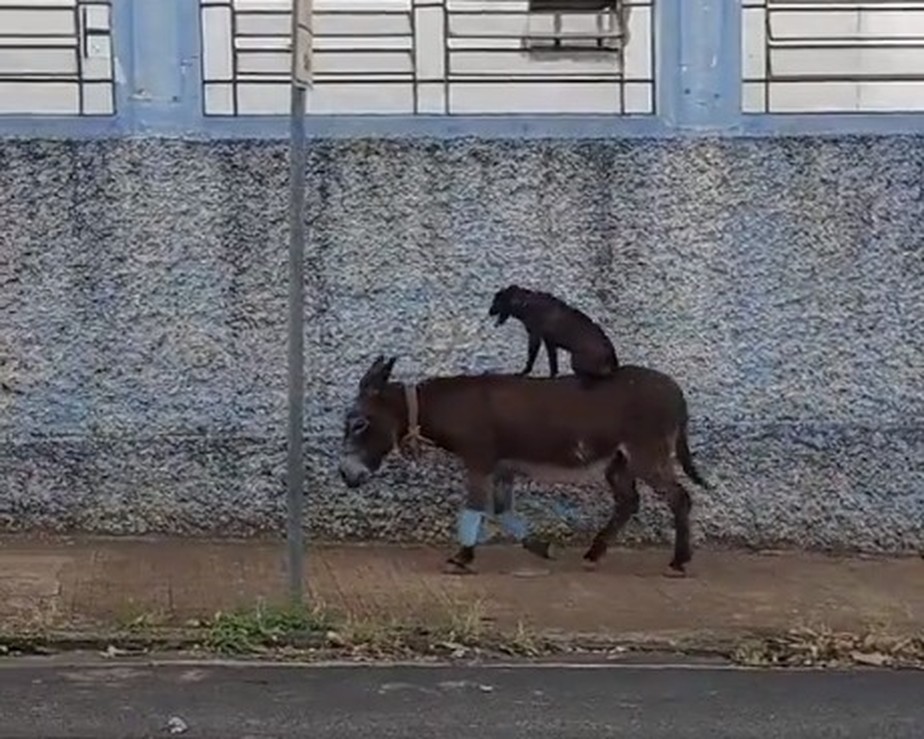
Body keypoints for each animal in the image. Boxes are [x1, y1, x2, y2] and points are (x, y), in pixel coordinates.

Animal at [484, 284, 620, 384]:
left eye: (496, 301)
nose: (489, 311)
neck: (524, 303)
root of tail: (612, 360)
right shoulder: (549, 342)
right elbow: (553, 363)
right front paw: (552, 376)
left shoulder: (536, 338)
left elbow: (533, 359)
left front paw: (524, 372)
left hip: (575, 359)